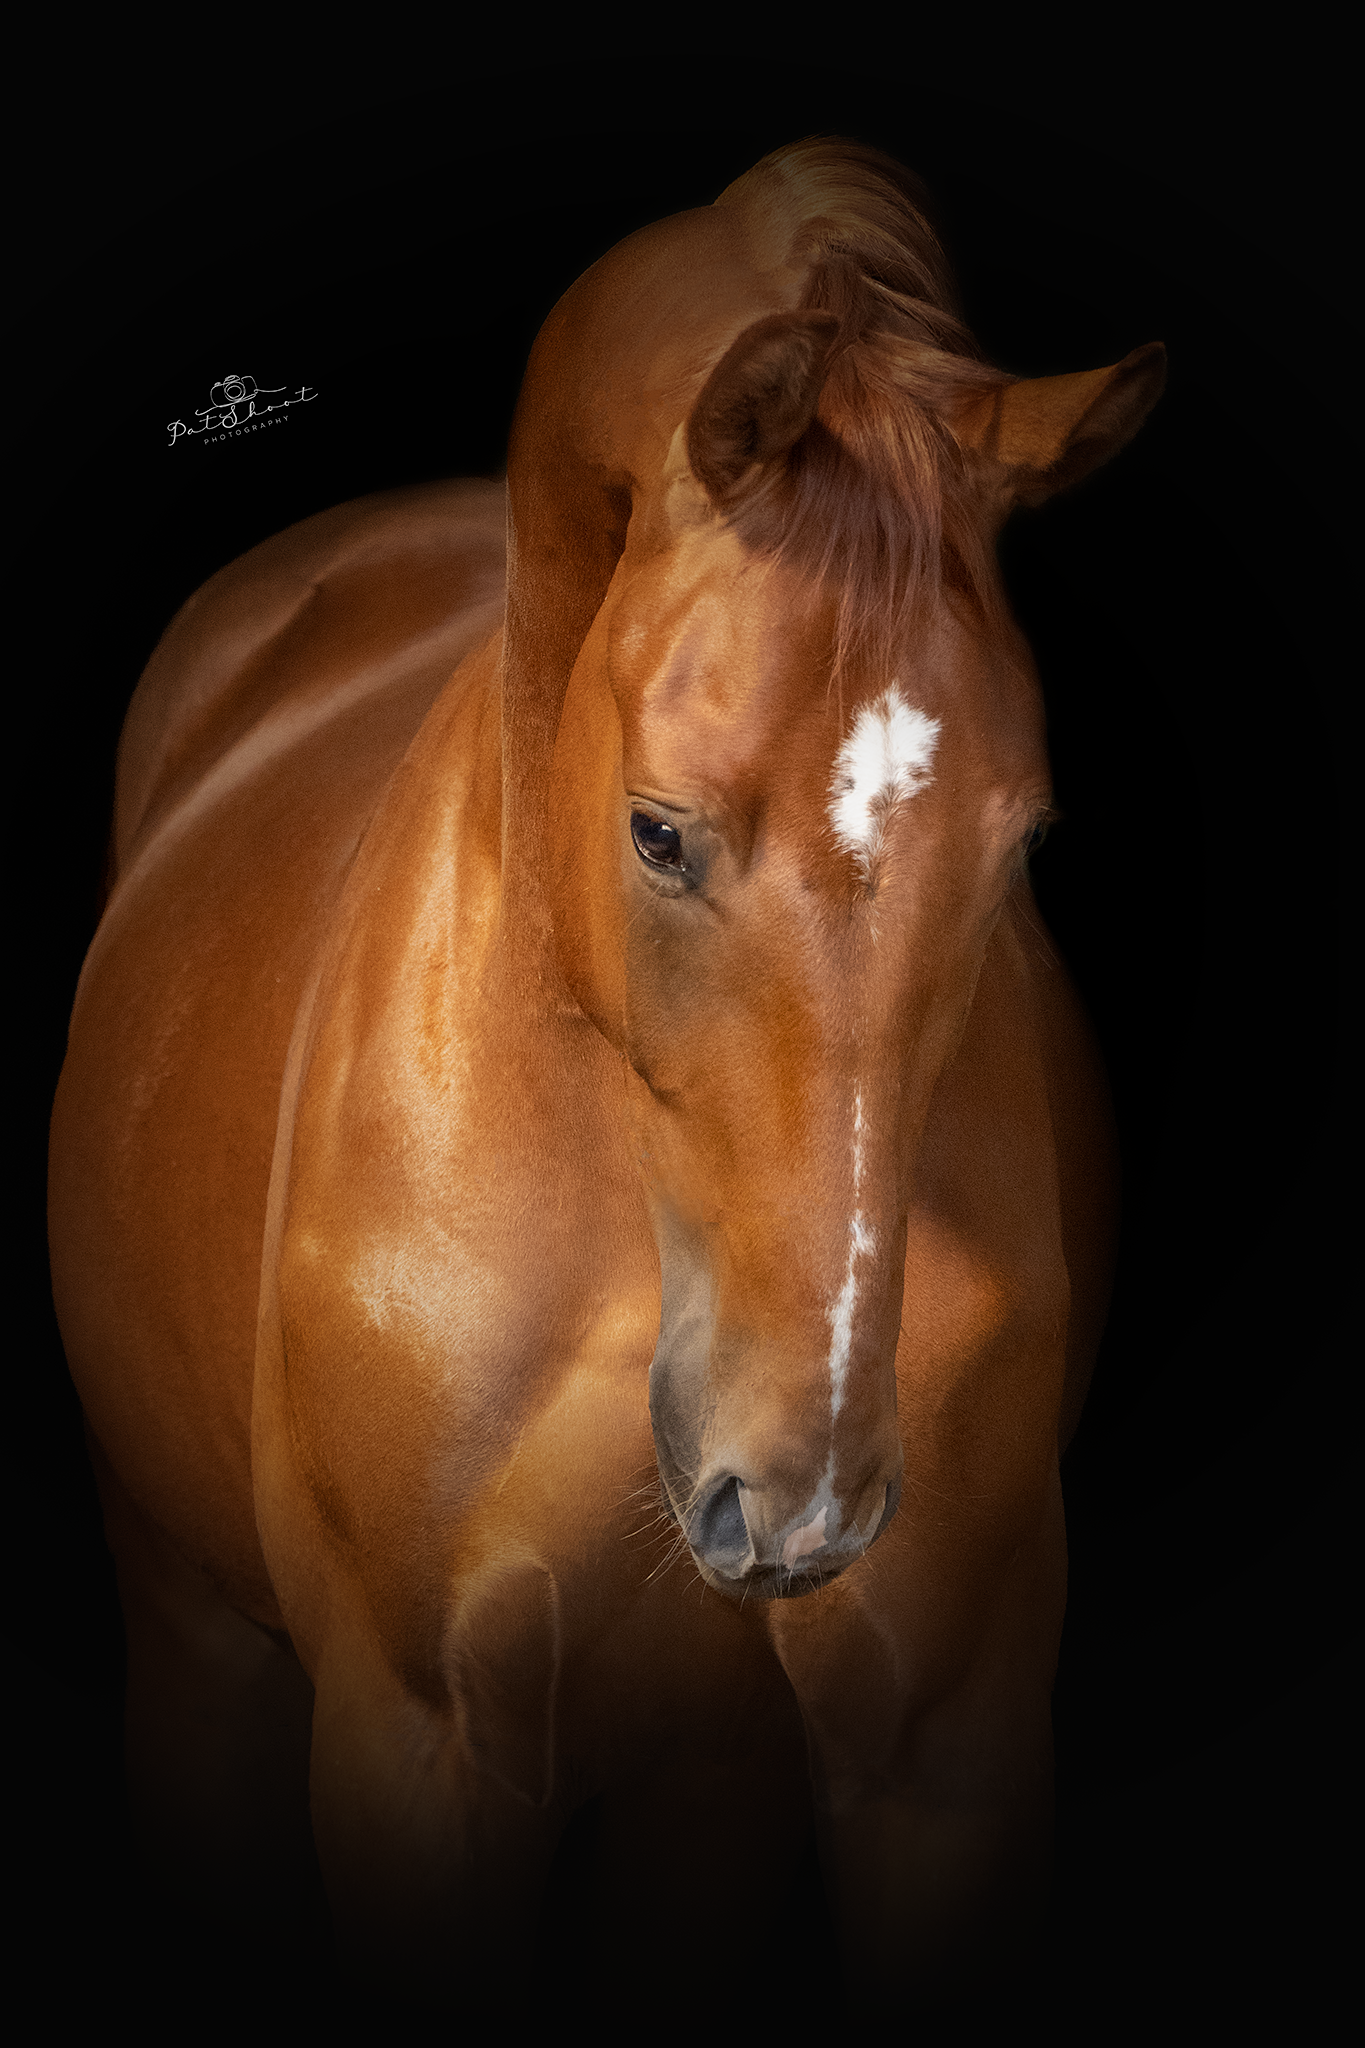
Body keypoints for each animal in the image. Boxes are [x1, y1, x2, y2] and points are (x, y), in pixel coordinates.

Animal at [48, 138, 1164, 2015]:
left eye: (1019, 845)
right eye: (658, 832)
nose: (798, 1500)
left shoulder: (938, 1747)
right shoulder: (416, 1748)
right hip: (197, 1637)